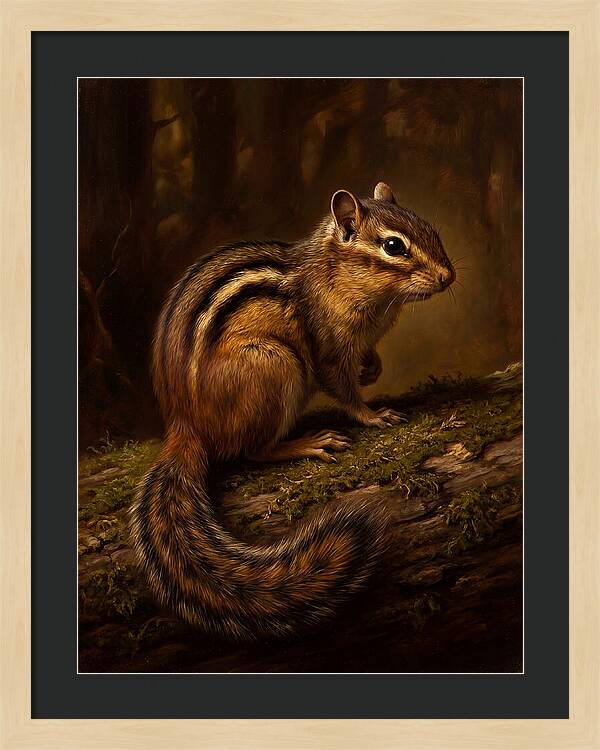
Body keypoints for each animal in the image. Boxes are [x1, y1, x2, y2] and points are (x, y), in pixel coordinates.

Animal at [130, 182, 455, 640]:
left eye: (430, 228)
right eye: (394, 246)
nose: (449, 276)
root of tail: (185, 425)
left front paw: (373, 368)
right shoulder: (328, 347)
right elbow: (342, 389)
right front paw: (374, 415)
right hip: (275, 365)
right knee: (252, 451)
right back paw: (308, 443)